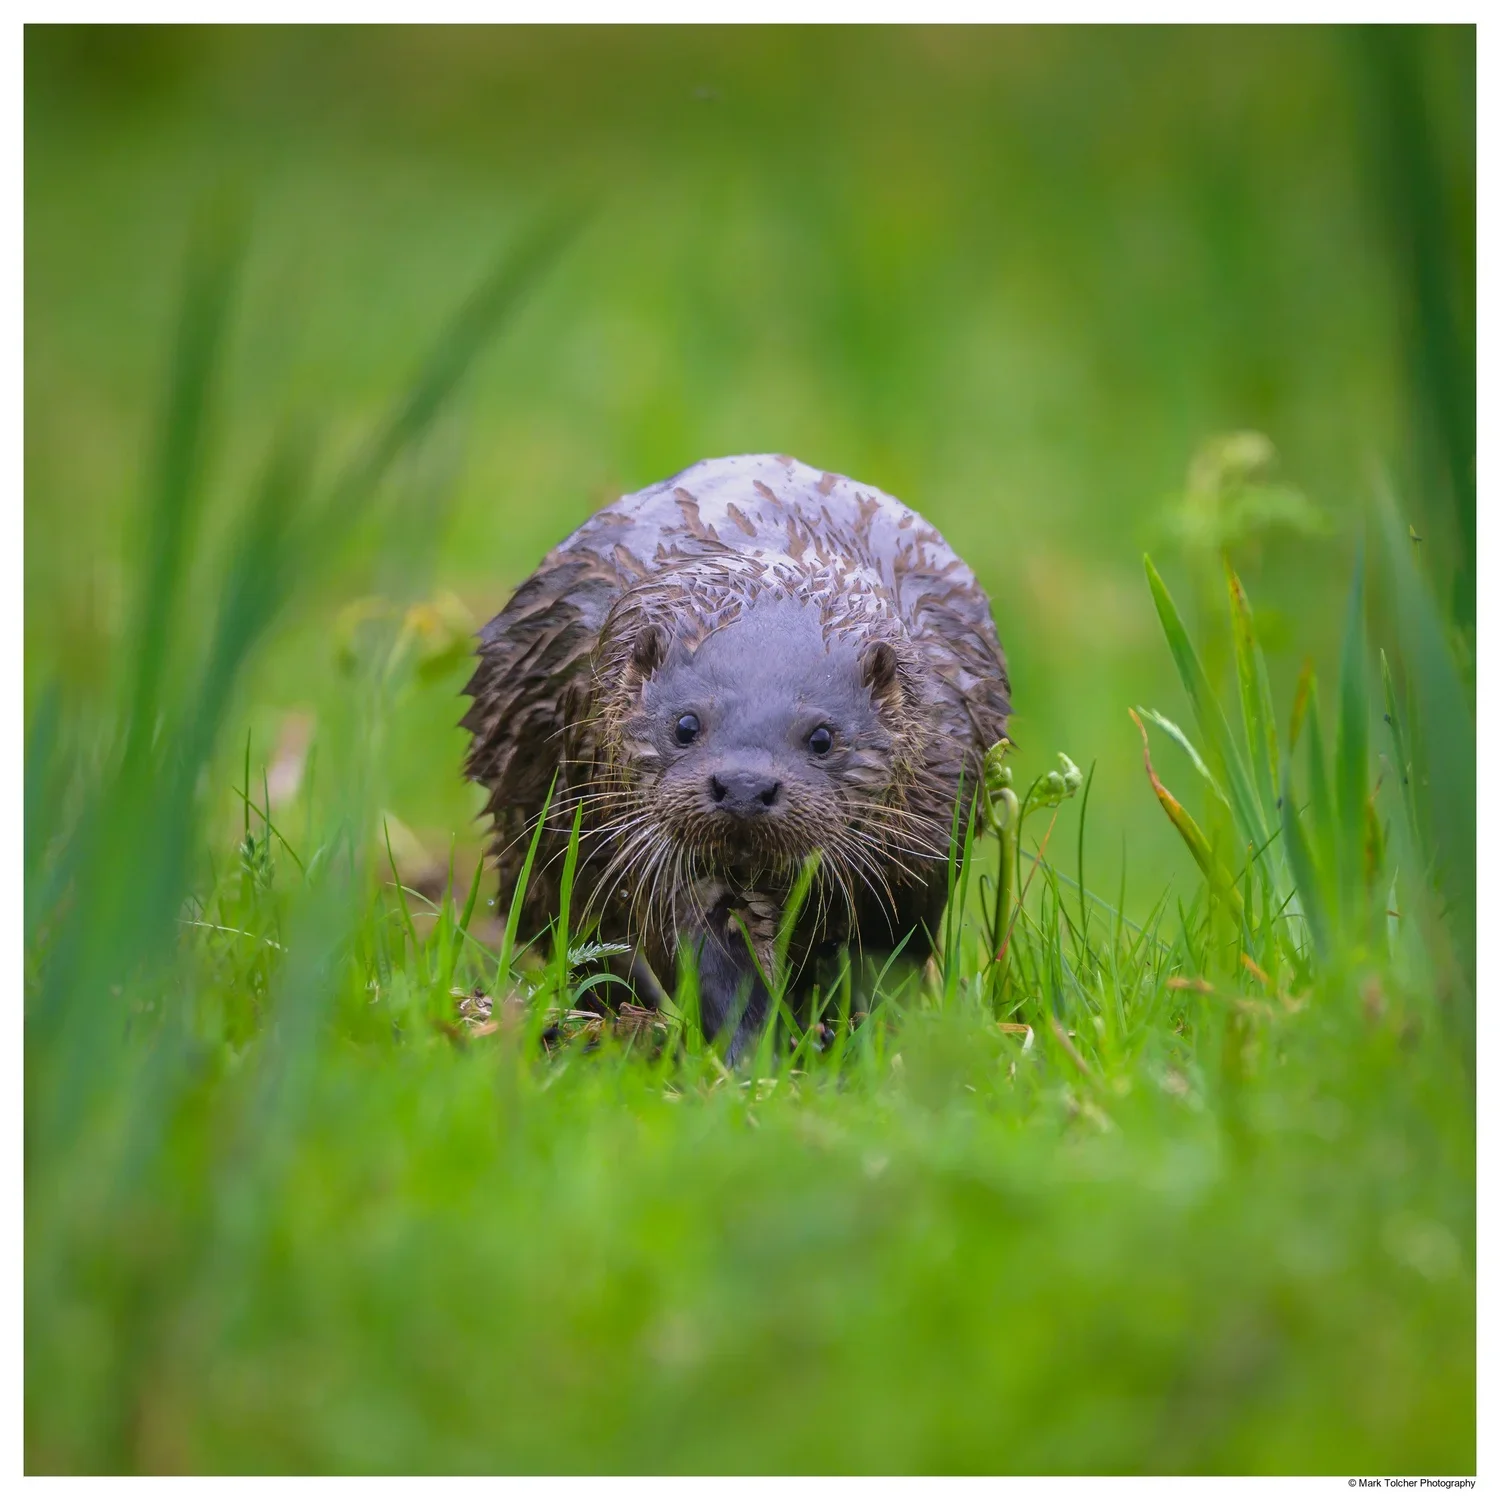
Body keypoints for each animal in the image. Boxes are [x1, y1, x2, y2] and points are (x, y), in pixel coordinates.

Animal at [462, 454, 1010, 1061]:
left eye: (822, 737)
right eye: (685, 725)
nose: (745, 785)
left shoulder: (920, 850)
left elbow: (882, 956)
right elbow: (710, 961)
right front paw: (754, 1056)